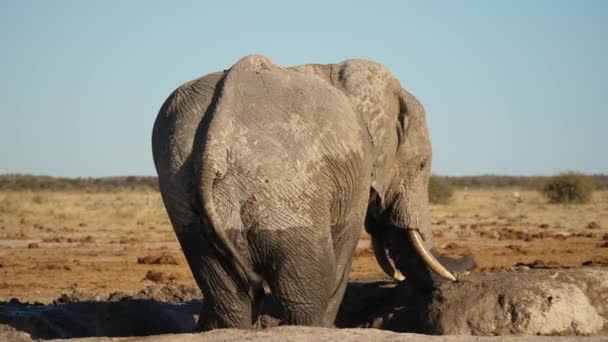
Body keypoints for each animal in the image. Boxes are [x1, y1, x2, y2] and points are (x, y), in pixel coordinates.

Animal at [153, 54, 466, 330]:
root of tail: (214, 147)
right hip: (290, 194)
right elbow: (341, 258)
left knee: (229, 296)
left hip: (186, 196)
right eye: (422, 164)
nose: (461, 275)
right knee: (308, 294)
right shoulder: (358, 167)